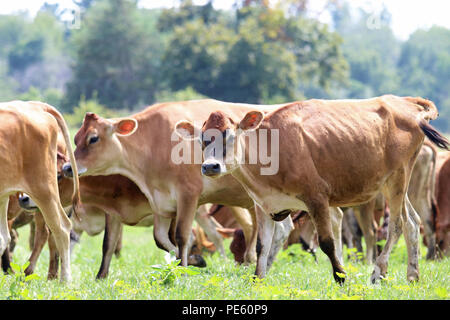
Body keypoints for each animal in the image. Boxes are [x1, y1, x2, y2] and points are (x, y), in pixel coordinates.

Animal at [178, 94, 448, 282]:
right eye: (202, 139)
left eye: (230, 135)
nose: (210, 166)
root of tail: (403, 102)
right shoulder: (263, 204)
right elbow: (262, 246)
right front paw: (258, 280)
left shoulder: (317, 198)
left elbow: (327, 242)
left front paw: (341, 278)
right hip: (392, 183)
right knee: (412, 222)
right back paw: (412, 275)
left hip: (399, 178)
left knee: (397, 225)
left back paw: (378, 272)